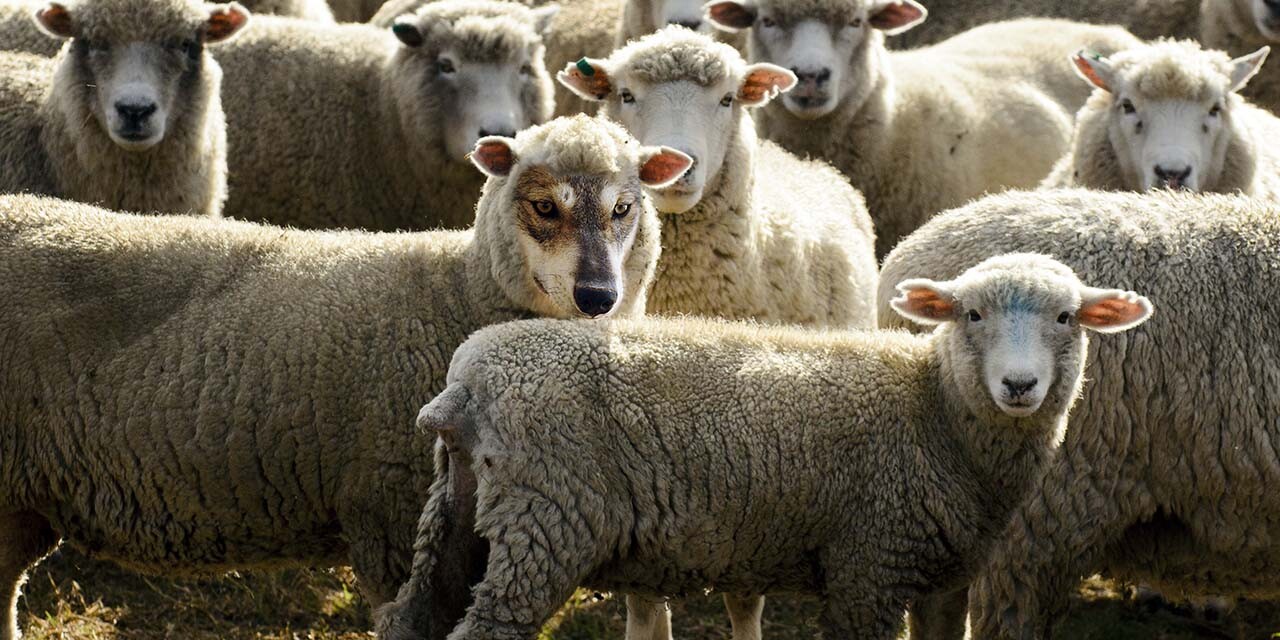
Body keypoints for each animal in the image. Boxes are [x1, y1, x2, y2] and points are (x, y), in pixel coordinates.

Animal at [372, 253, 1153, 640]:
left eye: (1066, 317)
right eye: (971, 314)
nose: (1019, 384)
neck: (934, 410)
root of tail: (470, 376)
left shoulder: (944, 580)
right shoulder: (868, 565)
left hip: (460, 511)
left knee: (412, 619)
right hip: (545, 521)